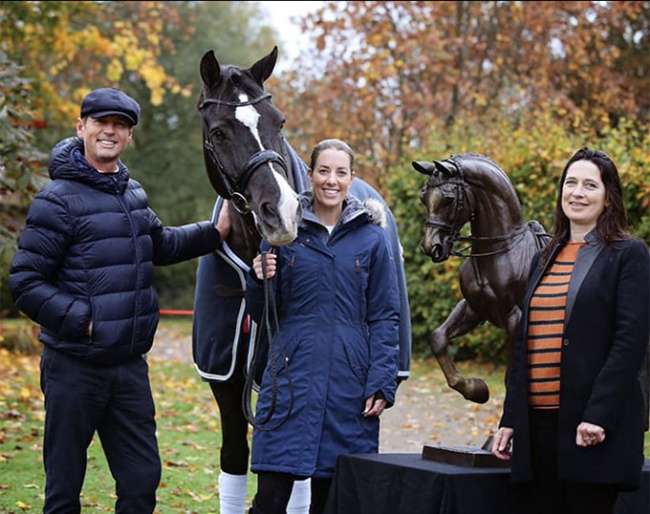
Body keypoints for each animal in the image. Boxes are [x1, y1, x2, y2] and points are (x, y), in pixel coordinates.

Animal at [410, 154, 548, 402]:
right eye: (423, 197)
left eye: (449, 199)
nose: (431, 247)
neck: (500, 251)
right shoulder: (473, 308)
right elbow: (438, 338)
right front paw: (475, 389)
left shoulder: (514, 318)